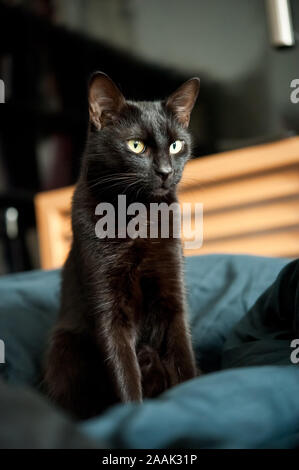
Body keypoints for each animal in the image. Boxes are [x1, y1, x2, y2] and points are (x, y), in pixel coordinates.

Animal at [43, 73, 200, 418]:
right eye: (135, 146)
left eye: (176, 145)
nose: (166, 172)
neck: (139, 216)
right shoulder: (108, 310)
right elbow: (124, 372)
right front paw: (134, 415)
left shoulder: (173, 298)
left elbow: (184, 360)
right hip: (63, 347)